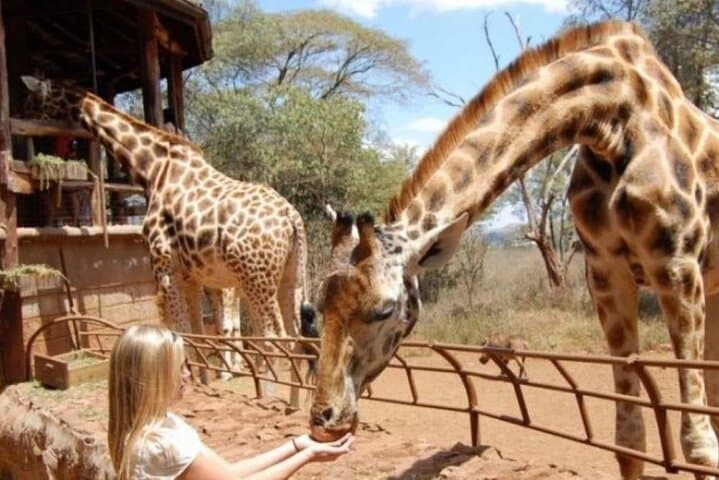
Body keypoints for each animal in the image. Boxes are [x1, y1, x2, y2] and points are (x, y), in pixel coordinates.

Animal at [21, 76, 313, 402]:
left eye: (32, 99)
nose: (30, 138)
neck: (152, 169)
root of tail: (291, 217)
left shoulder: (163, 266)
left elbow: (181, 331)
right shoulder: (191, 276)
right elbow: (197, 331)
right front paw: (203, 381)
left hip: (256, 280)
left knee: (274, 338)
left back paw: (270, 396)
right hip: (289, 277)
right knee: (295, 336)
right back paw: (293, 403)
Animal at [308, 20, 719, 479]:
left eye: (383, 310)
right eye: (318, 306)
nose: (323, 419)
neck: (611, 121)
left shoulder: (677, 265)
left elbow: (697, 443)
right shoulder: (606, 274)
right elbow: (629, 440)